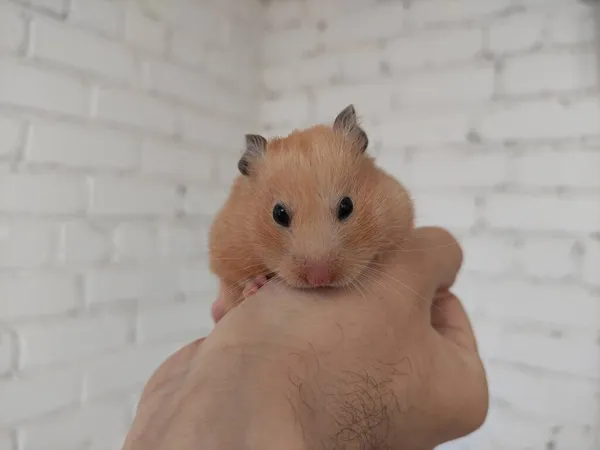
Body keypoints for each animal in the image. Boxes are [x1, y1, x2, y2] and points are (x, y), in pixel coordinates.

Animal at [206, 105, 412, 316]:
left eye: (347, 206)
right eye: (278, 214)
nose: (319, 279)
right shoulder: (224, 247)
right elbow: (234, 276)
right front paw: (255, 285)